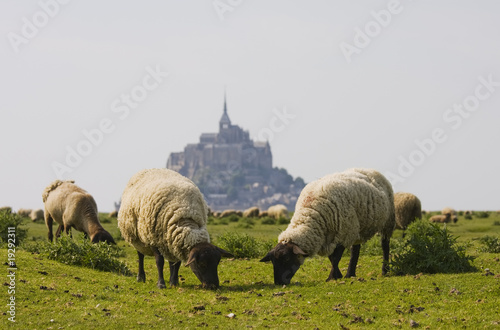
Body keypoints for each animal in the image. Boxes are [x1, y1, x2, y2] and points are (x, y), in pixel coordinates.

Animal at [262, 169, 394, 284]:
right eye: (272, 261)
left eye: (286, 258)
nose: (278, 283)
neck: (310, 212)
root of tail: (369, 169)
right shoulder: (328, 237)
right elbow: (331, 257)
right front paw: (338, 275)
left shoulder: (343, 233)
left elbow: (336, 258)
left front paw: (331, 277)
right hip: (357, 227)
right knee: (355, 250)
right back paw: (350, 274)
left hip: (387, 222)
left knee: (385, 246)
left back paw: (384, 270)